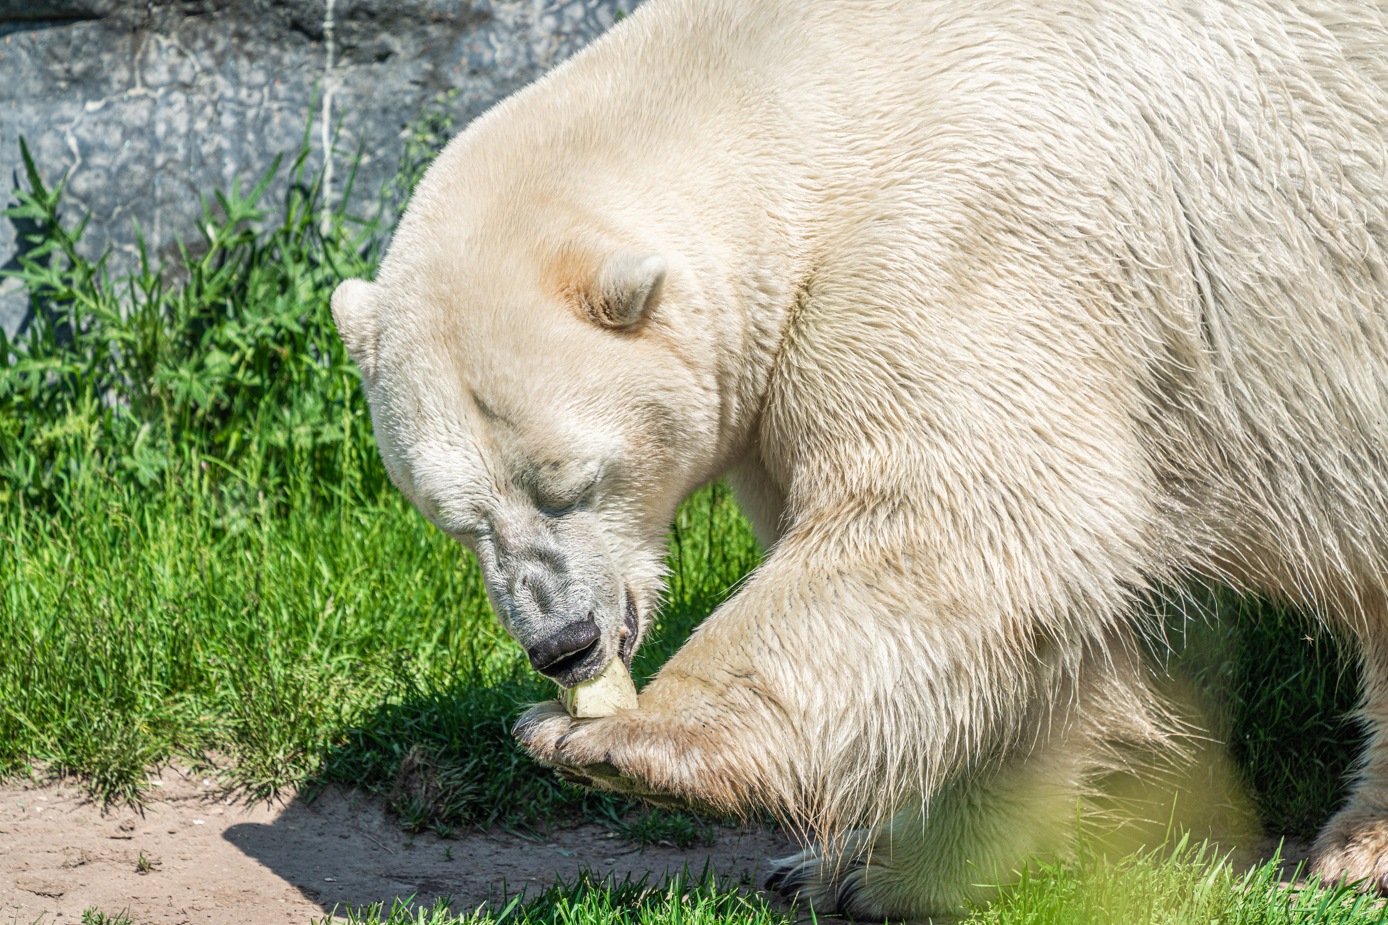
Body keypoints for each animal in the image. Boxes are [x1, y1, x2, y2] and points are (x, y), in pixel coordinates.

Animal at [330, 0, 1388, 916]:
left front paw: (620, 742)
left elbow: (966, 516)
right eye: (458, 519)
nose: (565, 644)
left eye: (575, 479)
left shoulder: (968, 236)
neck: (792, 83)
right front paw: (870, 870)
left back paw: (1357, 848)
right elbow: (1028, 640)